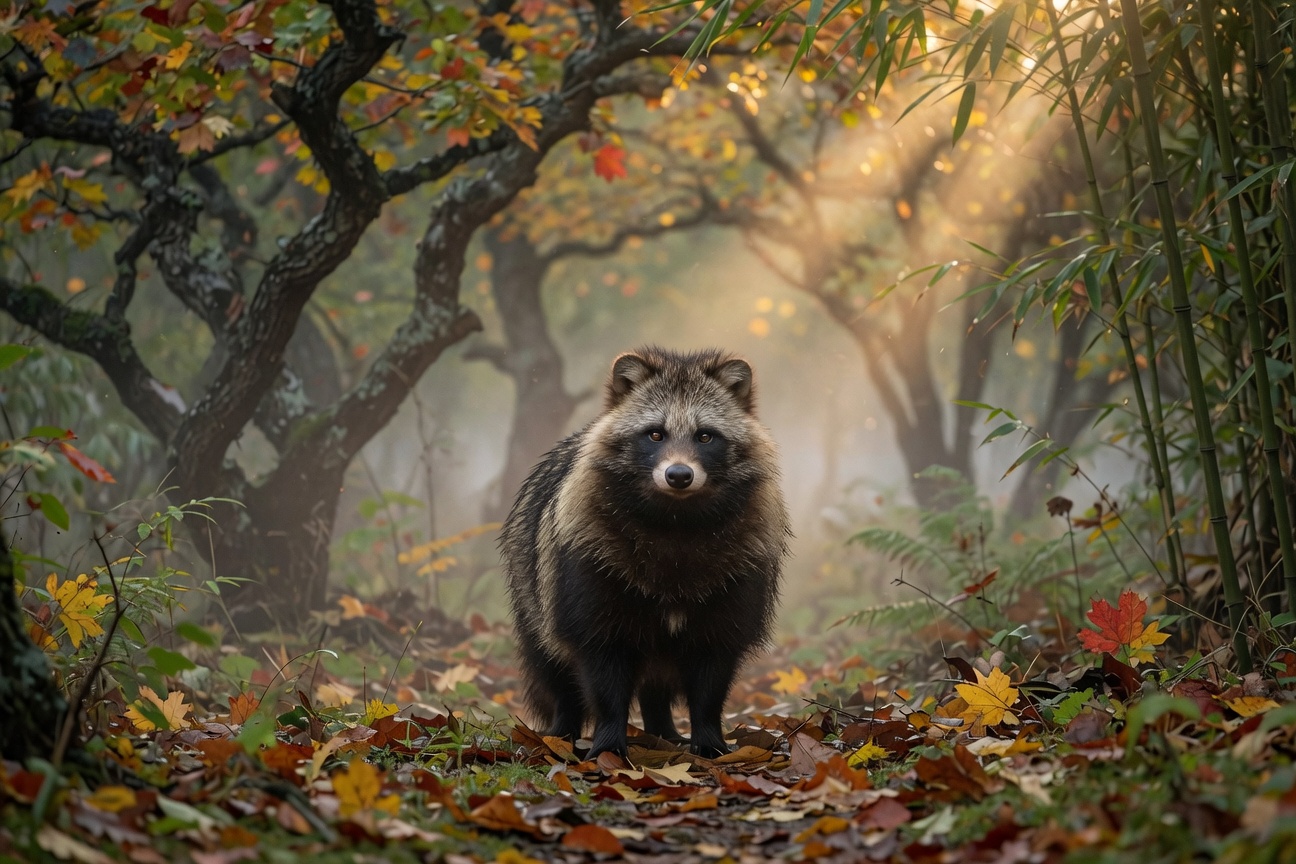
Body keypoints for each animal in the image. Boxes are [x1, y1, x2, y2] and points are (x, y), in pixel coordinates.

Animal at [500, 347, 790, 757]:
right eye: (655, 434)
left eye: (705, 436)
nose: (679, 475)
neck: (676, 518)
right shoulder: (586, 566)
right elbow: (603, 663)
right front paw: (608, 742)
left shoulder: (739, 580)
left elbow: (713, 669)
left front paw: (708, 739)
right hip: (535, 590)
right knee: (553, 666)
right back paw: (563, 729)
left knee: (657, 685)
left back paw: (662, 730)